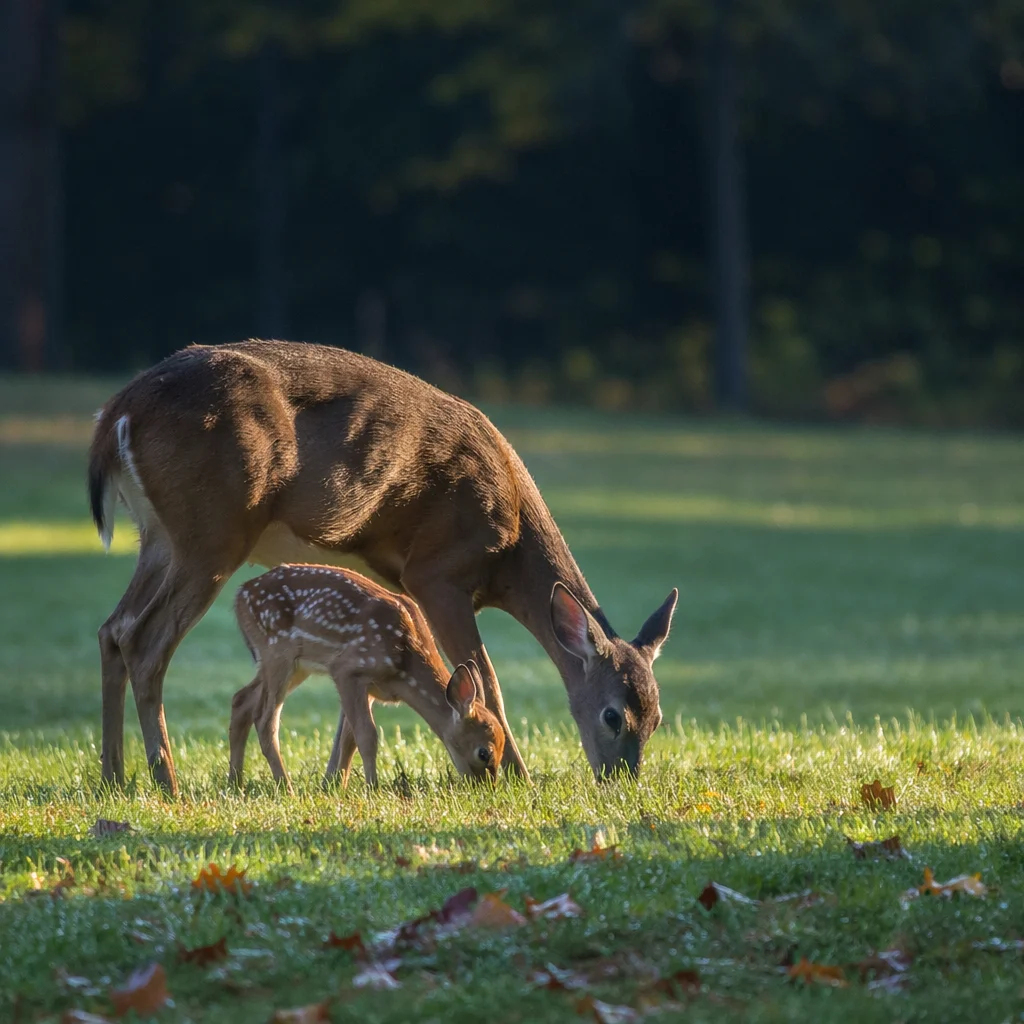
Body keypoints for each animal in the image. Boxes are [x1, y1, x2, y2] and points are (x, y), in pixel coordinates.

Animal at [228, 563, 505, 792]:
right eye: (484, 753)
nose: (486, 789)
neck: (405, 664)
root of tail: (240, 594)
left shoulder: (371, 688)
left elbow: (348, 739)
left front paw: (338, 788)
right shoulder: (348, 668)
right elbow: (367, 735)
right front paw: (372, 788)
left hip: (293, 665)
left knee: (241, 699)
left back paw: (235, 782)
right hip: (277, 651)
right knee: (265, 719)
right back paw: (286, 787)